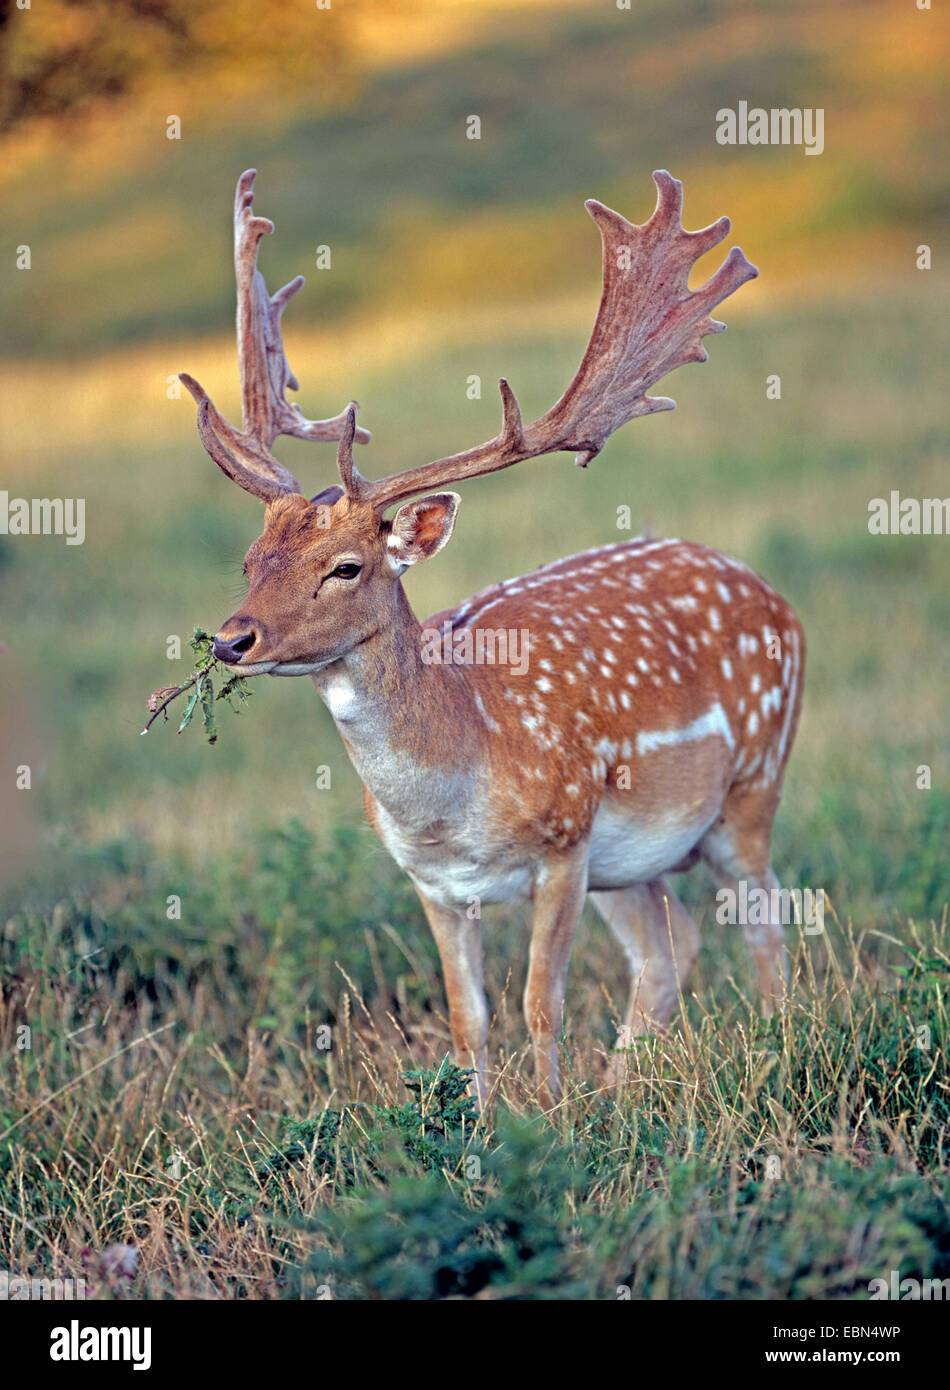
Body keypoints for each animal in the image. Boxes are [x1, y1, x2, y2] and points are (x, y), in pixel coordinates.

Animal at [178, 168, 801, 1106]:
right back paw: (622, 1088)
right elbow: (467, 1018)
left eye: (346, 566)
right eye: (252, 560)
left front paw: (546, 1118)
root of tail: (776, 599)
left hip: (749, 786)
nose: (232, 639)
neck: (454, 796)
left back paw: (772, 1046)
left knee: (766, 923)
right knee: (673, 948)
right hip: (635, 860)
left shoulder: (563, 843)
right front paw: (480, 1125)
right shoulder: (432, 883)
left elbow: (541, 1004)